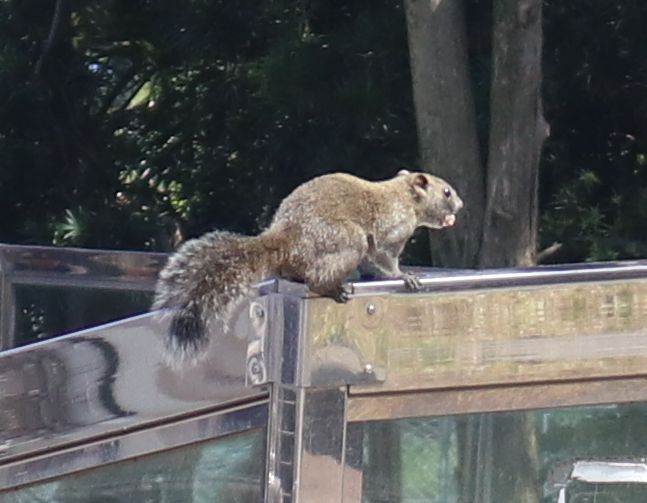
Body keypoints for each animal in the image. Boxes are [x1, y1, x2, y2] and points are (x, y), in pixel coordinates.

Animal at [154, 170, 464, 362]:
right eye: (446, 192)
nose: (460, 206)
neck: (404, 197)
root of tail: (284, 238)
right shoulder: (391, 229)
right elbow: (385, 259)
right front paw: (405, 276)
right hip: (346, 239)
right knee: (317, 277)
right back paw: (334, 289)